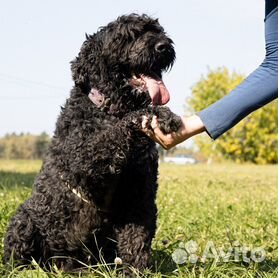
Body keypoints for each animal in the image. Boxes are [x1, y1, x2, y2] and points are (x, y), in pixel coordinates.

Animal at [4, 14, 182, 272]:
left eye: (159, 31)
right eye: (128, 36)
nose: (164, 46)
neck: (108, 109)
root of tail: (63, 263)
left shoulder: (140, 193)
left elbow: (137, 239)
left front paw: (136, 270)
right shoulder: (84, 160)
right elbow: (118, 131)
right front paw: (157, 114)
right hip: (23, 221)